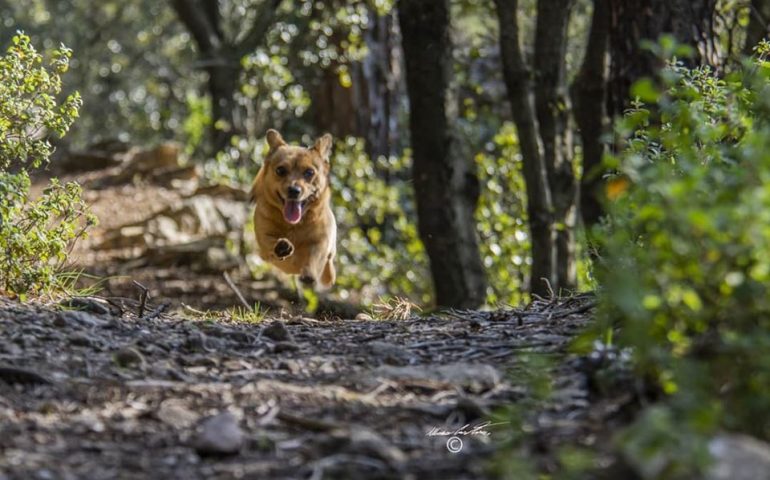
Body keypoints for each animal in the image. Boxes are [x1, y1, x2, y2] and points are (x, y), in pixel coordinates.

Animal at [250, 128, 334, 288]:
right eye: (280, 170)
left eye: (309, 172)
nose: (294, 190)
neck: (294, 225)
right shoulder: (264, 241)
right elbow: (270, 242)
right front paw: (281, 247)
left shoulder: (320, 241)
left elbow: (314, 257)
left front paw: (309, 274)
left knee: (329, 263)